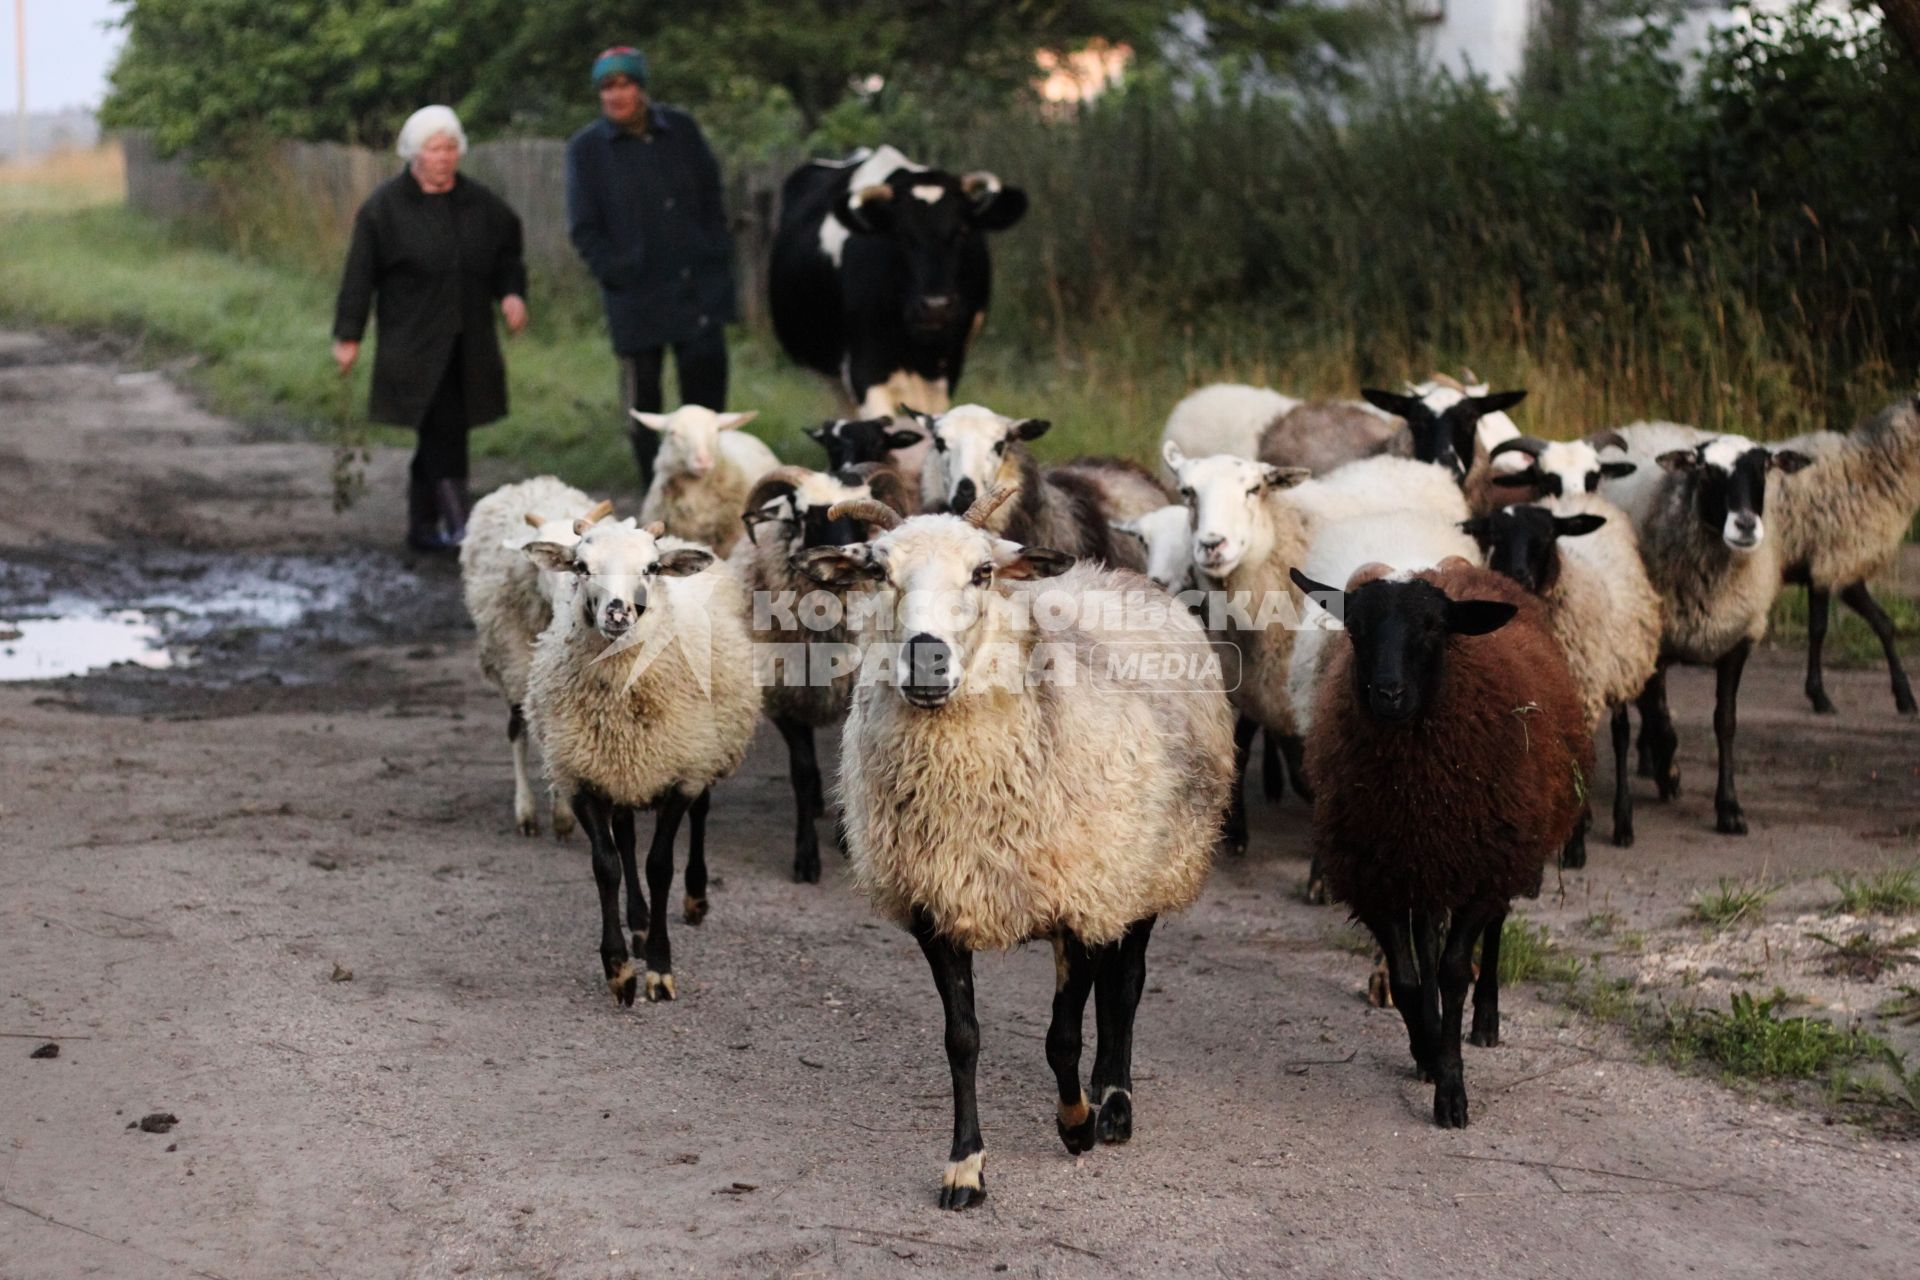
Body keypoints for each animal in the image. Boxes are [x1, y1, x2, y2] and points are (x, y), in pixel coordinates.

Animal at [529, 514, 768, 1005]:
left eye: (652, 568)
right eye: (580, 565)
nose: (618, 612)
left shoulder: (682, 775)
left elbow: (660, 867)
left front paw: (659, 968)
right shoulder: (580, 776)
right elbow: (607, 865)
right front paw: (620, 968)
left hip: (703, 749)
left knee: (700, 815)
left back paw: (694, 899)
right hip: (622, 772)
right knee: (625, 836)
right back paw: (637, 925)